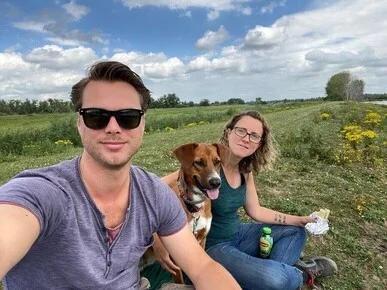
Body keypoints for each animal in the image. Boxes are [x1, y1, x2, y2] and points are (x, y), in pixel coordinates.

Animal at [142, 142, 230, 284]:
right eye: (198, 162)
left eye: (217, 162)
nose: (216, 182)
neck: (194, 207)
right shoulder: (174, 257)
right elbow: (180, 280)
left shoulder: (201, 240)